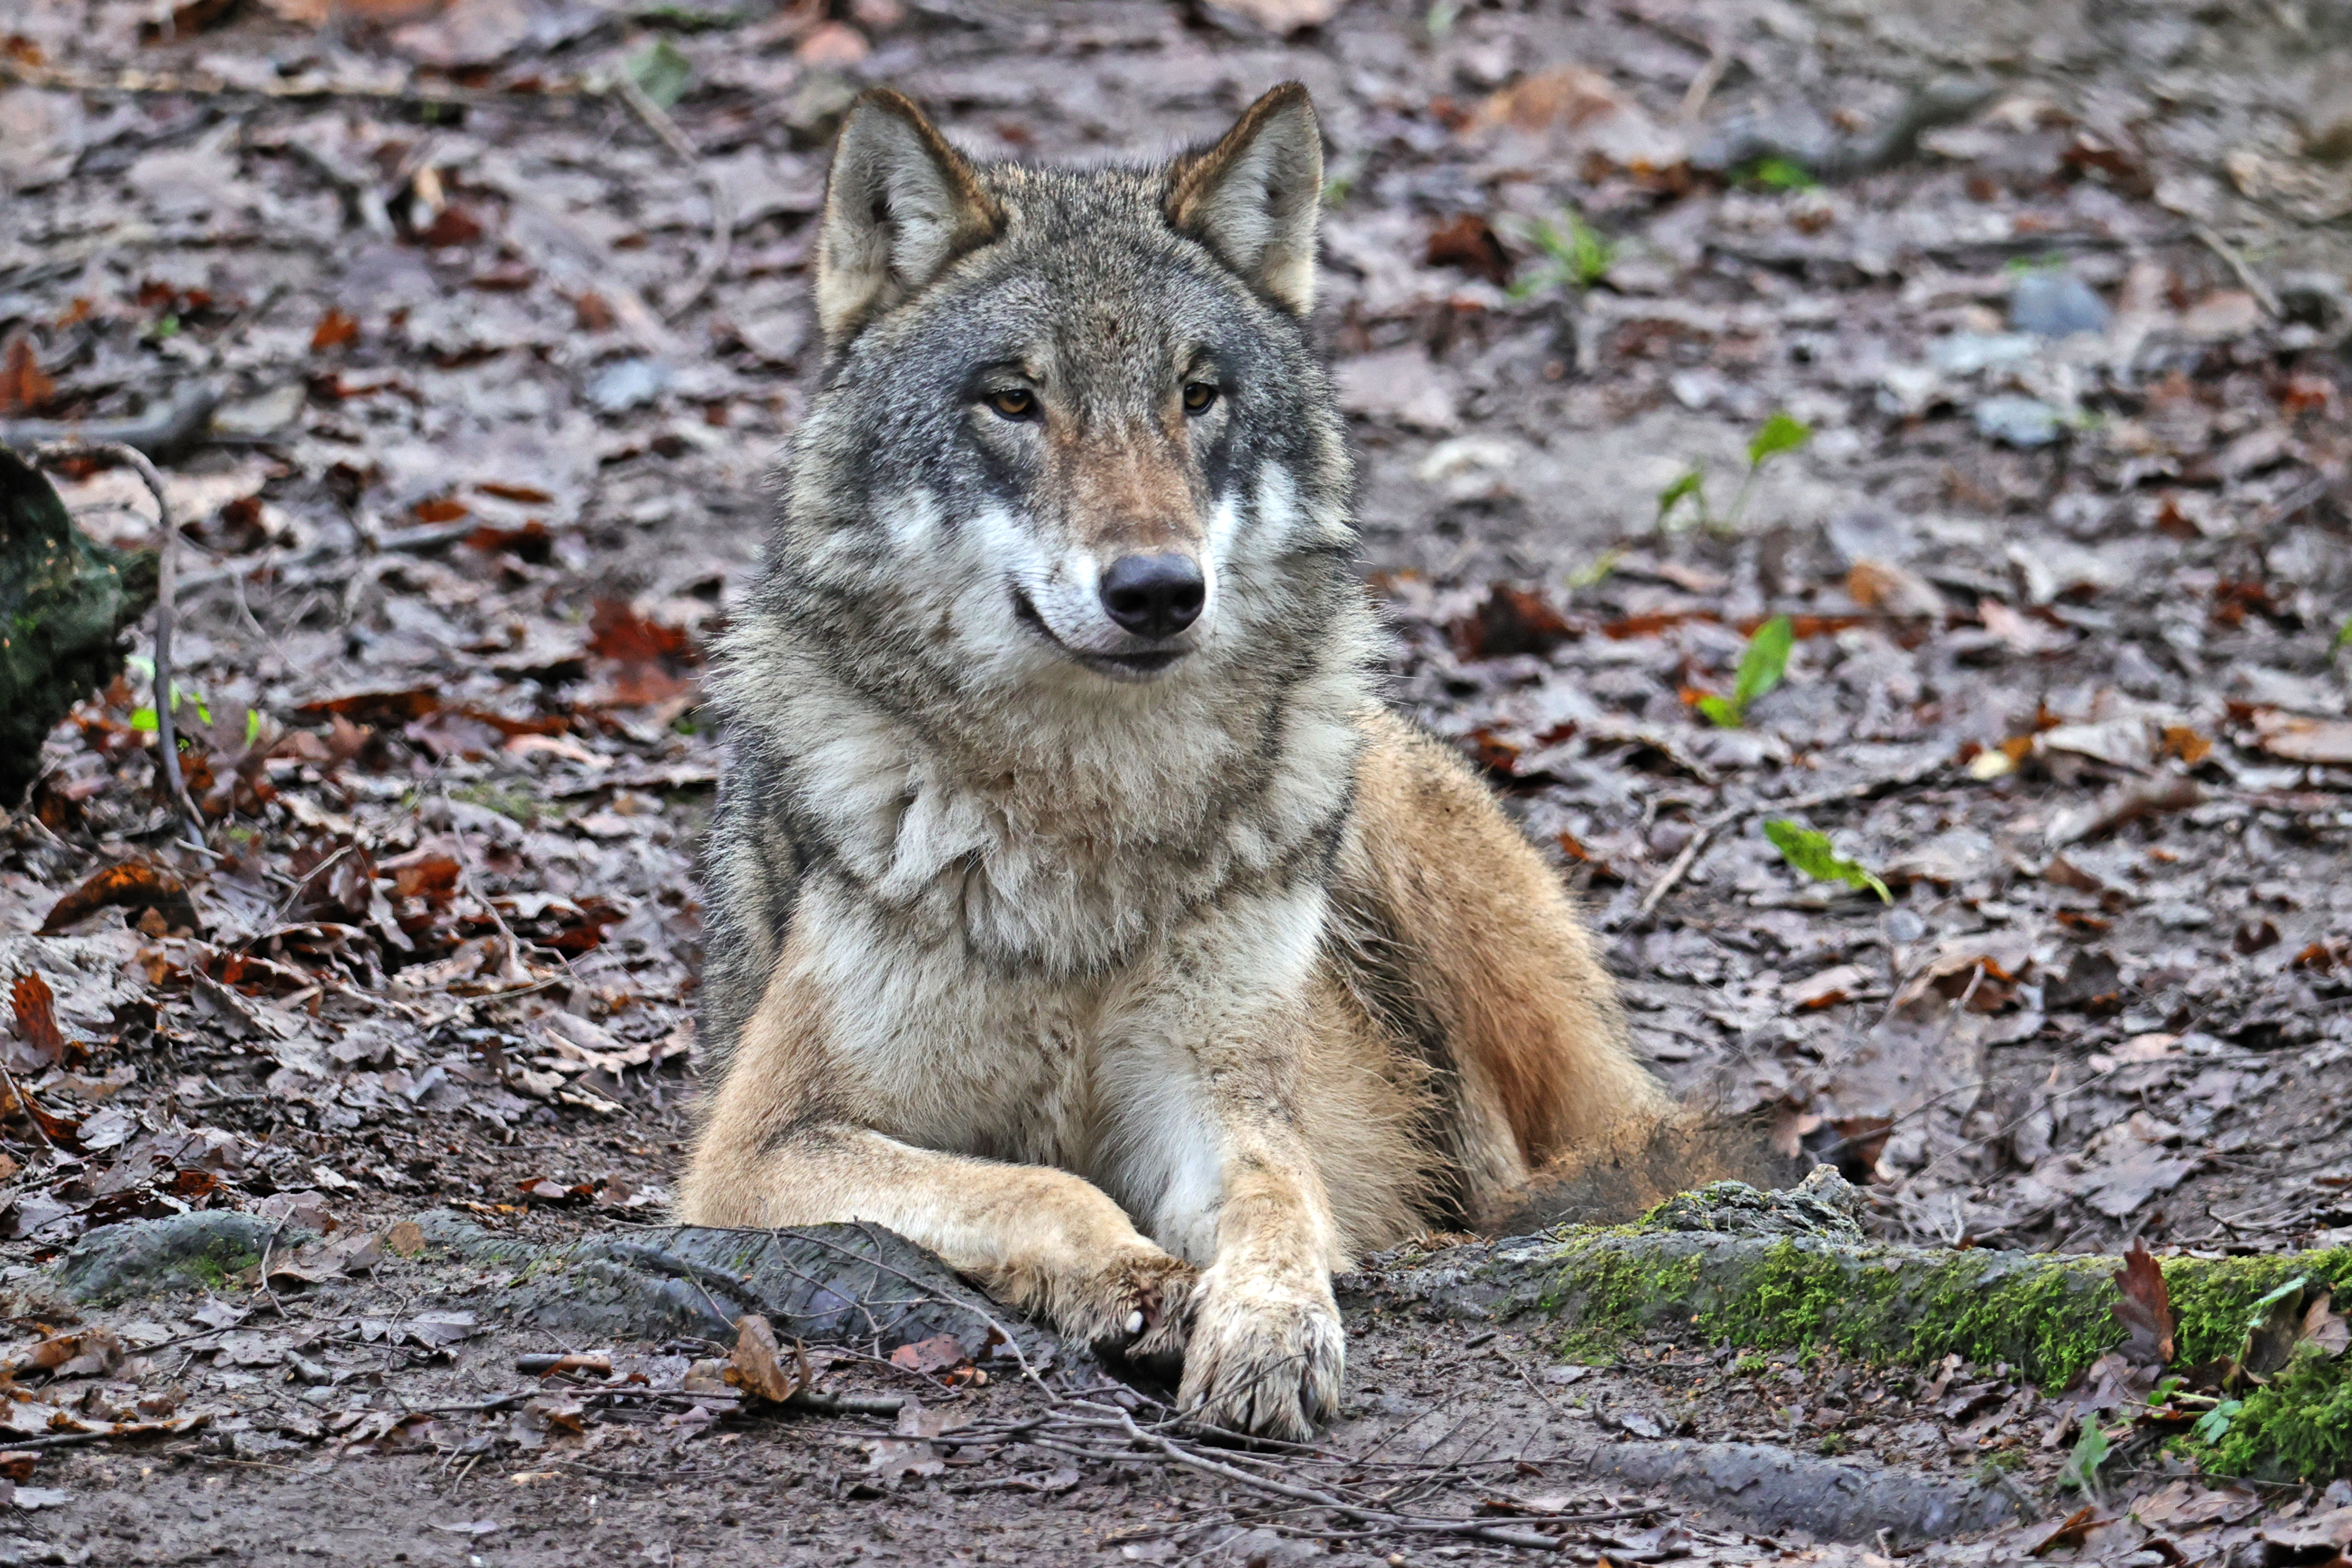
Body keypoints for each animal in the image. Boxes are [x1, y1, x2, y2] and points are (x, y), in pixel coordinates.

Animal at [676, 81, 1668, 1440]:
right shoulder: (757, 1152)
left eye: (1196, 395)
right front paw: (1134, 1282)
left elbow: (1276, 1193)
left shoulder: (1219, 1092)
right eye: (1013, 400)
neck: (1089, 825)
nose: (1155, 589)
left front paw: (1274, 1328)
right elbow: (1035, 1181)